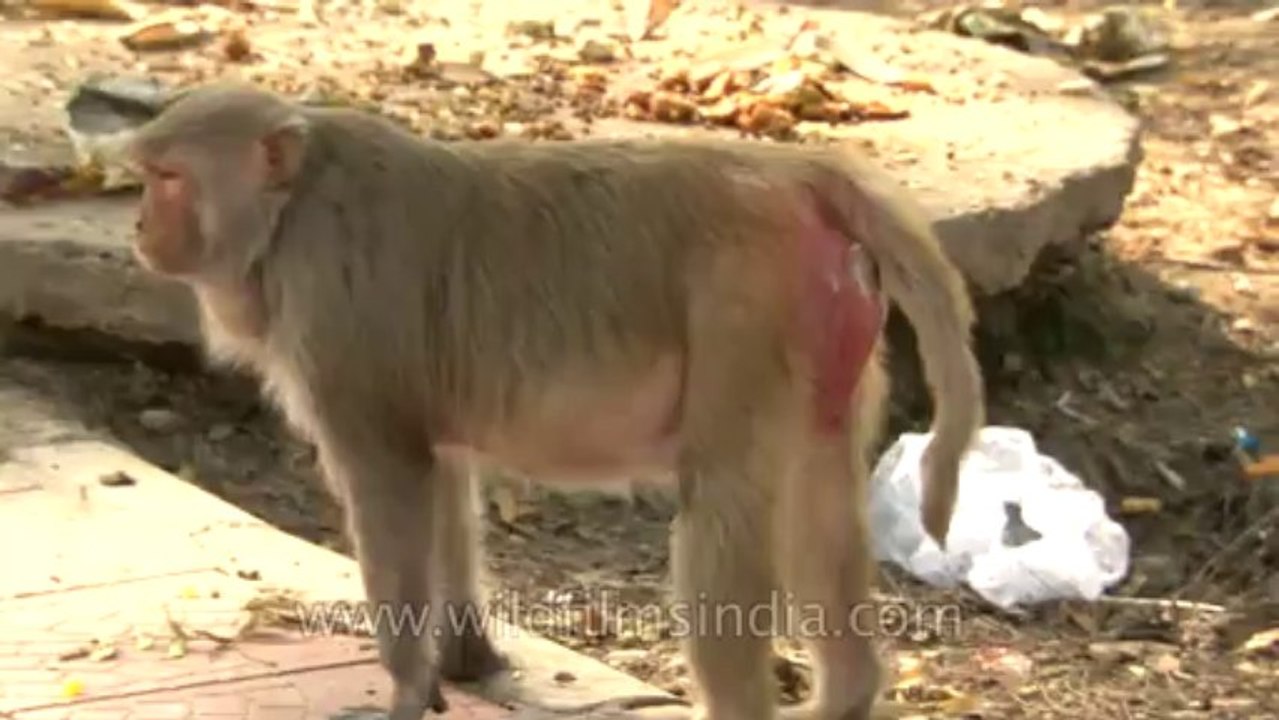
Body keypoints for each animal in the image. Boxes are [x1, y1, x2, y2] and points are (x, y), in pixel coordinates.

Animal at [125, 81, 983, 720]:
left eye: (168, 179)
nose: (137, 226)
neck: (290, 209)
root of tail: (800, 172)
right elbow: (439, 474)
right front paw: (463, 659)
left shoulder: (331, 310)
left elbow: (388, 479)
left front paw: (403, 685)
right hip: (825, 340)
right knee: (816, 498)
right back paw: (849, 690)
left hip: (747, 314)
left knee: (722, 508)